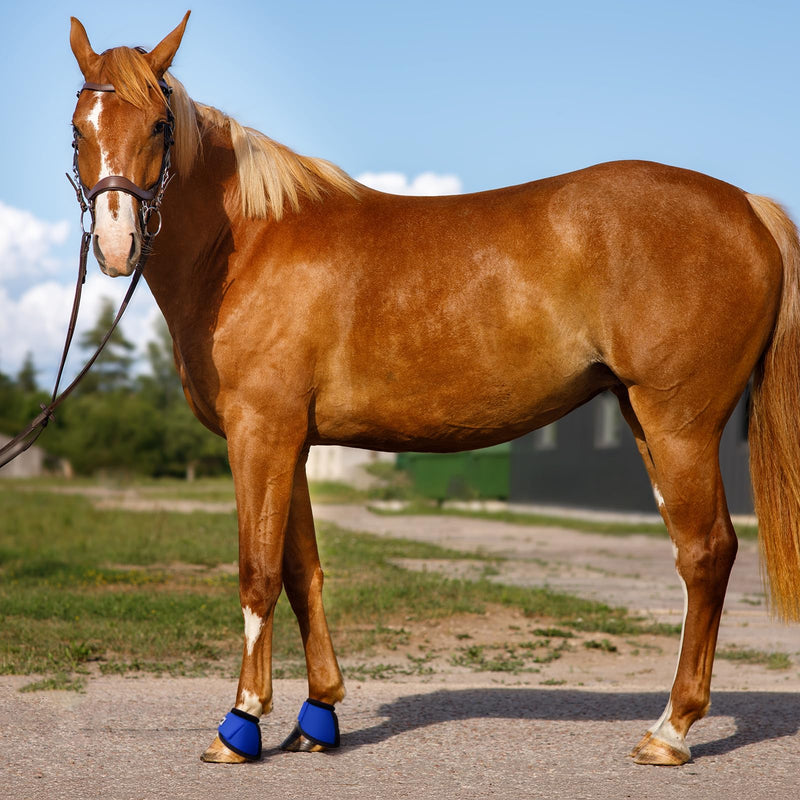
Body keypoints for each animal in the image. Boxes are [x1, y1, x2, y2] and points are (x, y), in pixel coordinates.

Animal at [68, 12, 800, 767]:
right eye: (78, 126)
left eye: (160, 124)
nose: (117, 245)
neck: (245, 245)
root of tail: (749, 207)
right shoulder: (292, 443)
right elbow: (303, 573)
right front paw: (318, 716)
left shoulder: (260, 435)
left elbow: (258, 573)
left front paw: (240, 724)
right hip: (646, 420)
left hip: (681, 424)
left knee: (707, 553)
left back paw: (670, 730)